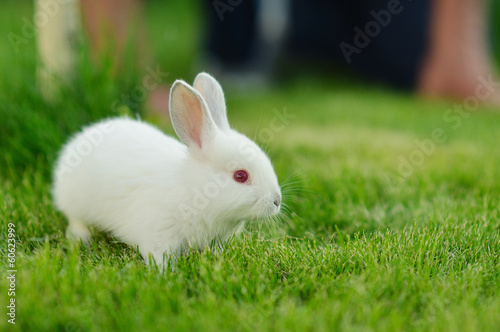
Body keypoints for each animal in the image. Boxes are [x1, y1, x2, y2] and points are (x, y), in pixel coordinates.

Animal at [54, 72, 282, 268]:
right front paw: (164, 274)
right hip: (76, 204)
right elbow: (157, 257)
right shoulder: (158, 235)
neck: (195, 192)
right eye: (240, 176)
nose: (276, 201)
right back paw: (81, 237)